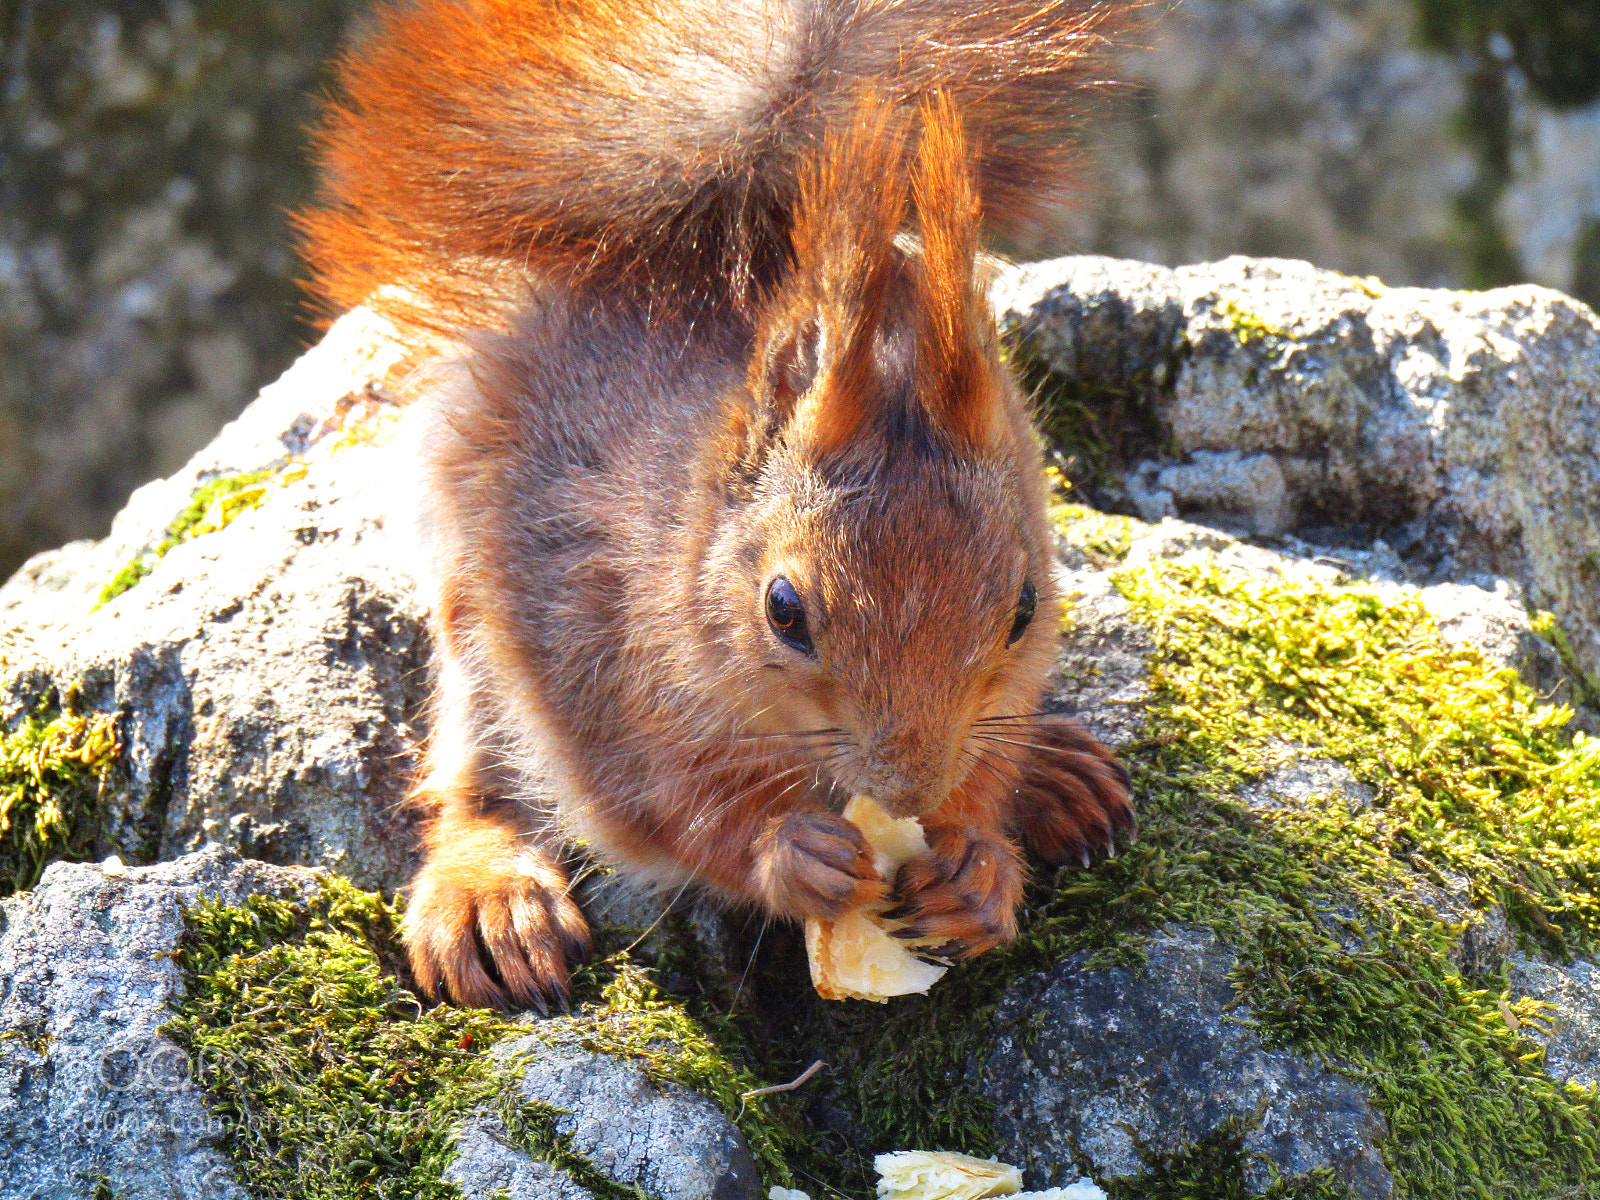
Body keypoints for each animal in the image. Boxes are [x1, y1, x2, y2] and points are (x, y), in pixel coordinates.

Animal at [300, 0, 1140, 1010]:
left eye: (1023, 609)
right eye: (784, 611)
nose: (907, 791)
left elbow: (988, 760)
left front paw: (977, 863)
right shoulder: (598, 647)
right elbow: (667, 806)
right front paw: (787, 854)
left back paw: (1057, 774)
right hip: (471, 595)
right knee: (473, 772)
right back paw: (490, 895)